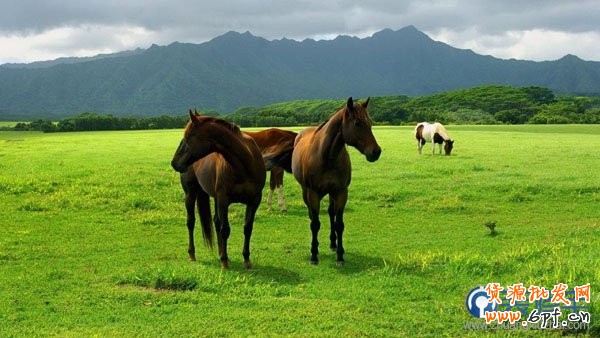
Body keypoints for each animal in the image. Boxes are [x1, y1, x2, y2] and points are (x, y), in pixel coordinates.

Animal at [170, 109, 266, 268]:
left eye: (188, 137)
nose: (174, 163)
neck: (244, 165)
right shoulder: (223, 199)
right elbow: (225, 229)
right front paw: (225, 263)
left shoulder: (254, 200)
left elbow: (247, 228)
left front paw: (246, 260)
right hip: (190, 194)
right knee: (191, 222)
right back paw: (193, 254)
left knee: (216, 222)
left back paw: (221, 253)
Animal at [280, 96, 382, 266]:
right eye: (357, 123)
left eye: (370, 122)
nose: (376, 152)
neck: (327, 156)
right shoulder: (313, 194)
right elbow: (315, 224)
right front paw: (314, 255)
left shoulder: (340, 192)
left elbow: (339, 224)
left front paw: (340, 256)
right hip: (305, 192)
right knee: (312, 215)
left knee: (330, 213)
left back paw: (333, 244)